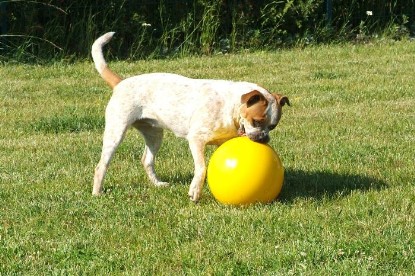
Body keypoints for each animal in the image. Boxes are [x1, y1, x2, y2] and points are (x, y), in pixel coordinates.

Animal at [92, 32, 290, 202]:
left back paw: (158, 184)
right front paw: (195, 191)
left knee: (146, 160)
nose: (264, 138)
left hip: (155, 134)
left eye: (272, 127)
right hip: (116, 131)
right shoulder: (196, 139)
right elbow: (201, 168)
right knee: (101, 165)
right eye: (256, 121)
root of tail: (120, 83)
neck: (230, 107)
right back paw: (97, 193)